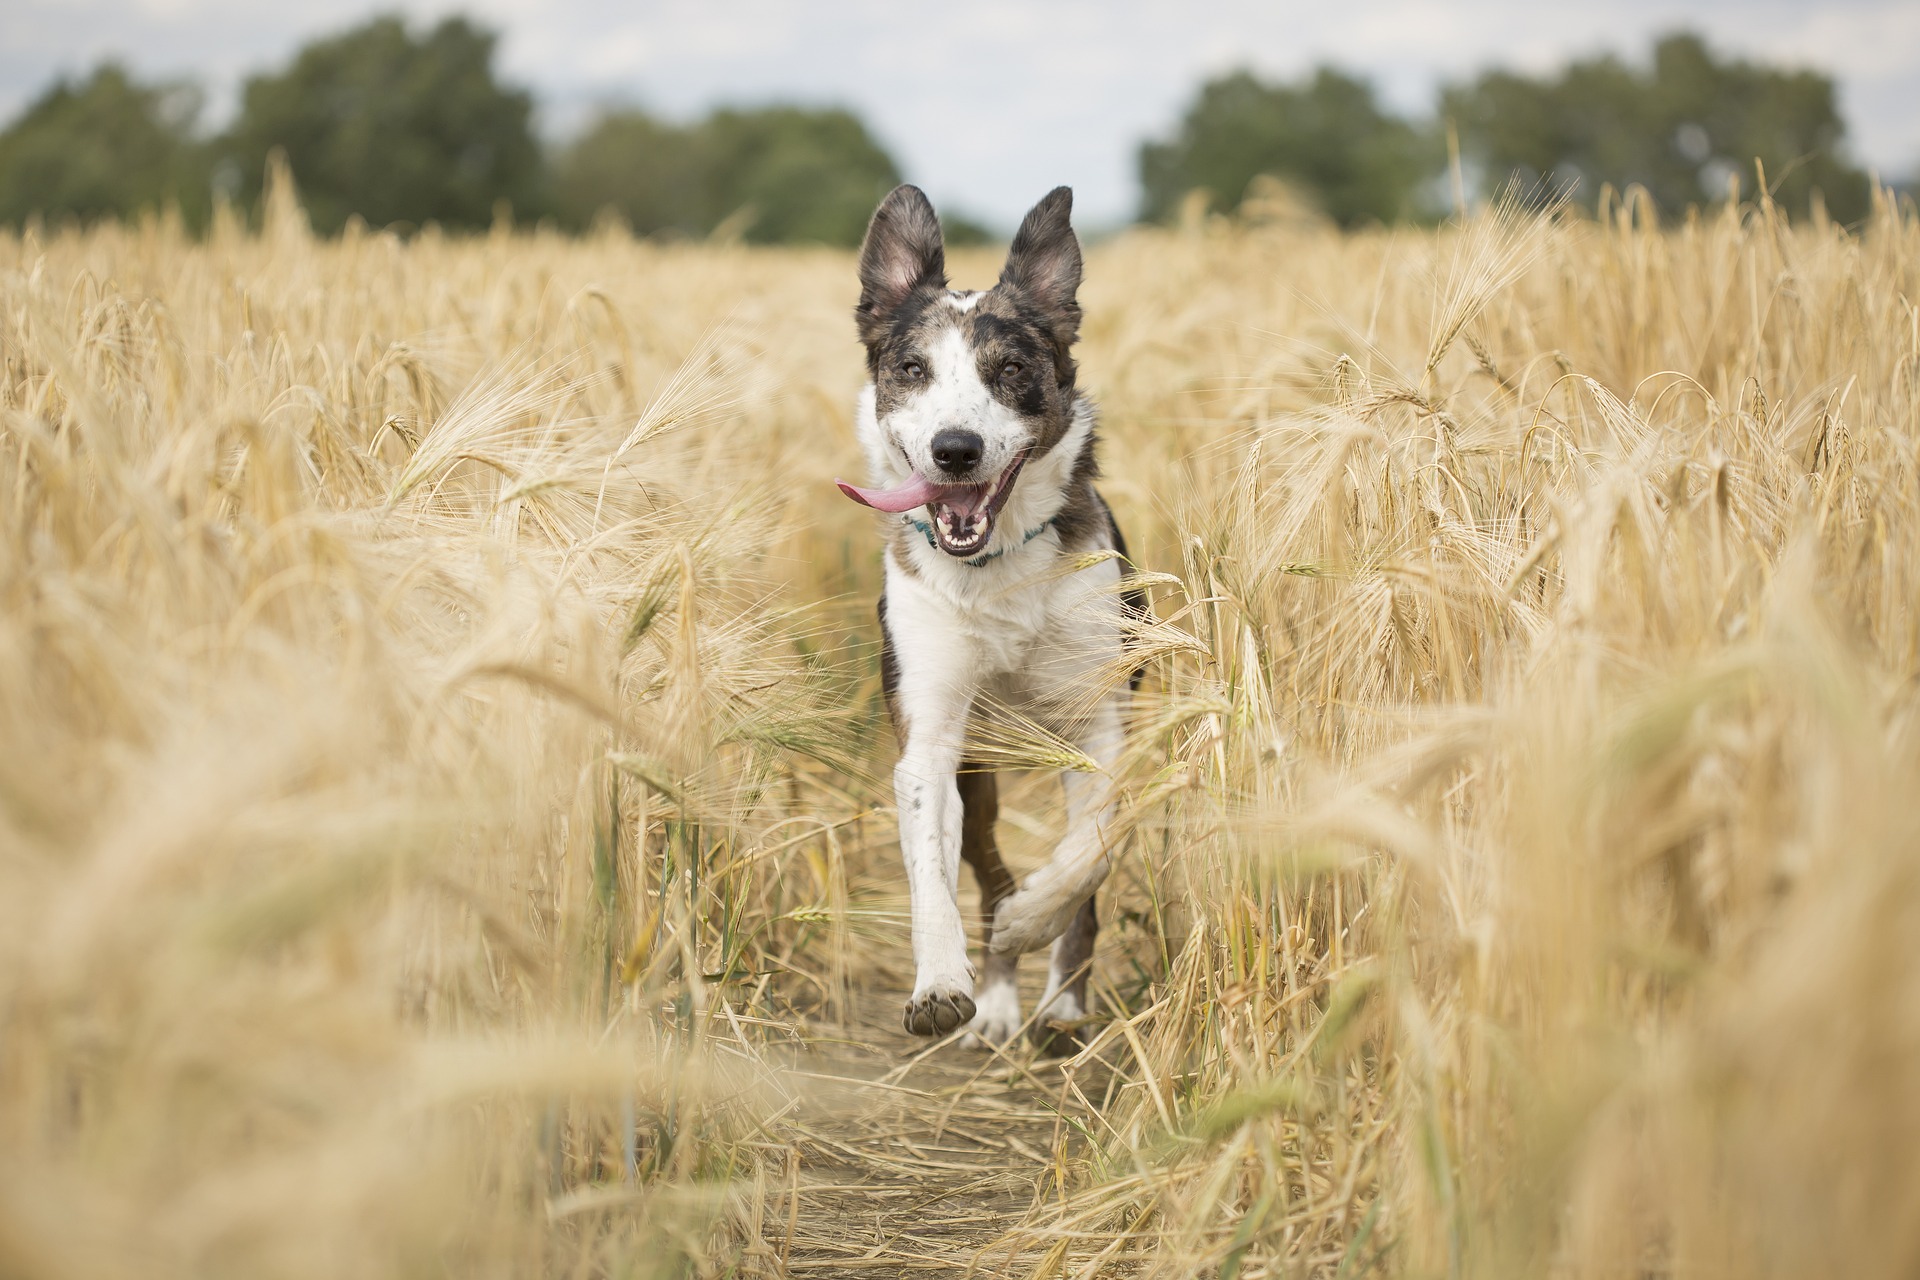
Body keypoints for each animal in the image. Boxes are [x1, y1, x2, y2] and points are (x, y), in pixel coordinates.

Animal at [837, 188, 1136, 1051]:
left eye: (1011, 370)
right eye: (912, 370)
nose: (956, 450)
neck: (995, 567)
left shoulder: (1101, 725)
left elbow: (1088, 854)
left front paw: (1035, 922)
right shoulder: (932, 741)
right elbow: (930, 872)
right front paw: (943, 983)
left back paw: (1059, 999)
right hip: (981, 770)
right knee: (986, 867)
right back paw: (998, 1001)